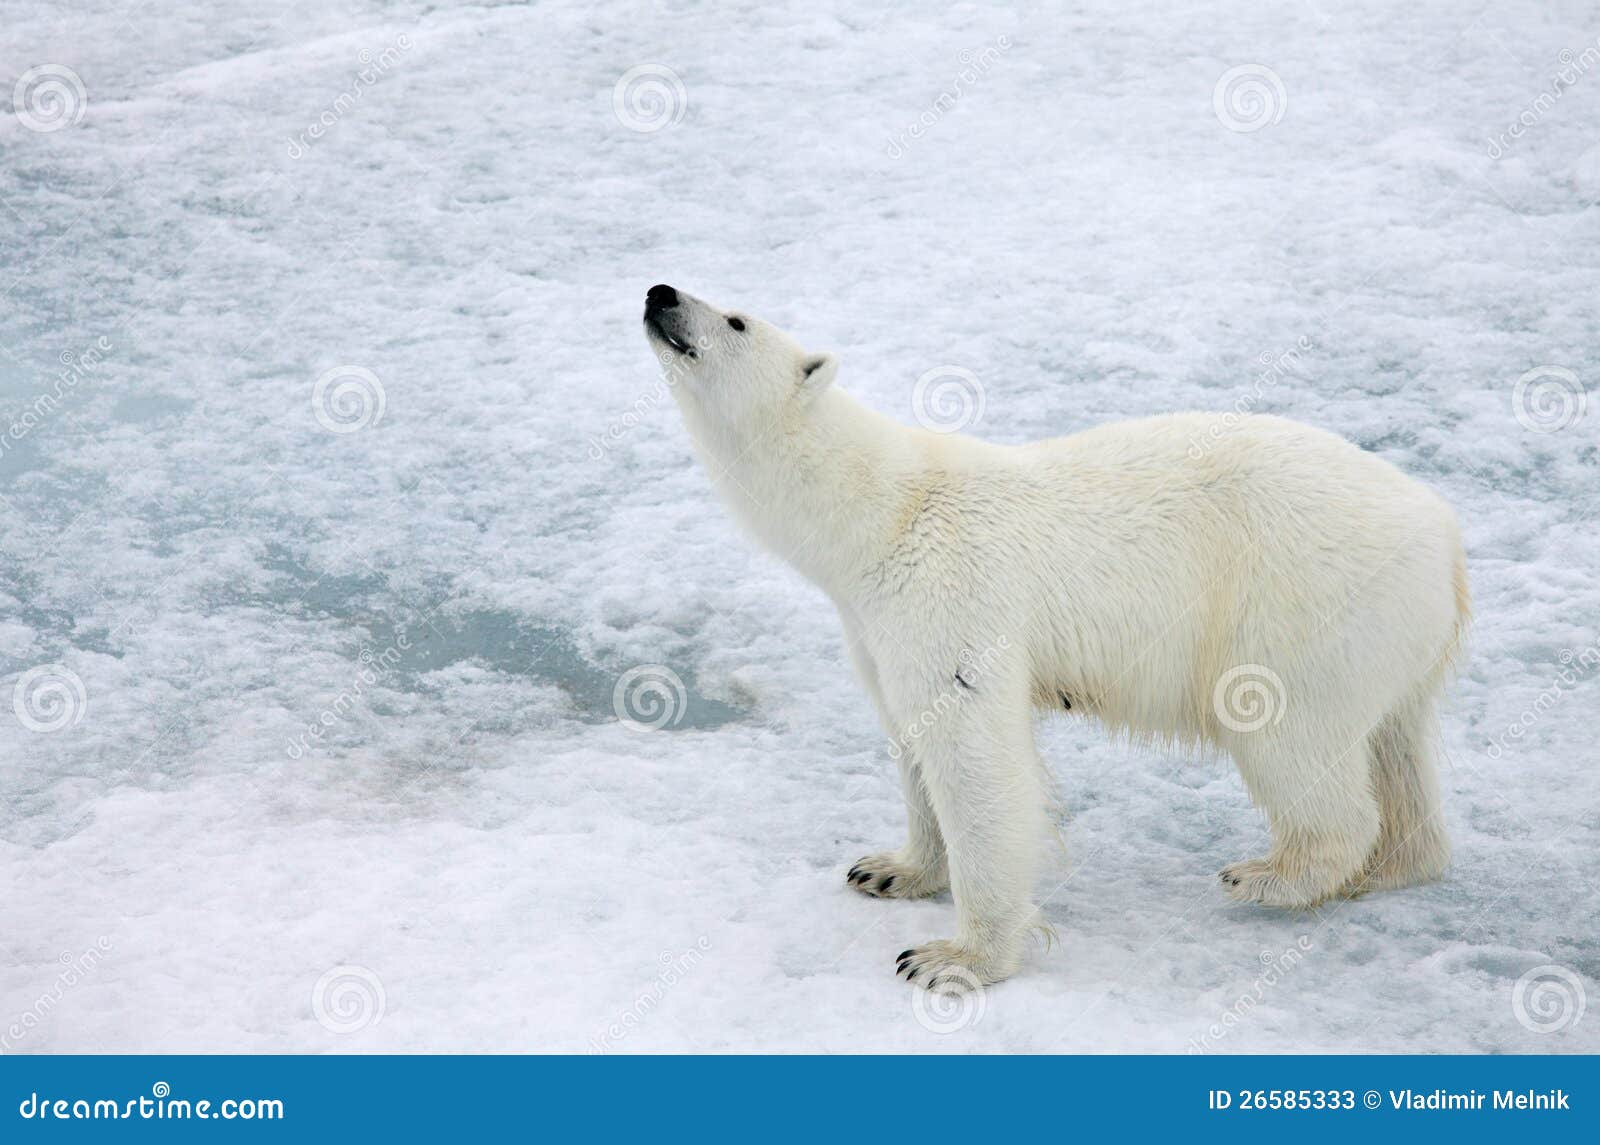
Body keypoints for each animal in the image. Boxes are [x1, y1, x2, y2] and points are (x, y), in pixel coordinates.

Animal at [643, 281, 1465, 991]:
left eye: (738, 320)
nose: (660, 294)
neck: (881, 512)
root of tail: (1445, 536)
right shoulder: (872, 623)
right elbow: (912, 730)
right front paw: (889, 868)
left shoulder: (950, 594)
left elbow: (973, 751)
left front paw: (953, 957)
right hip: (1387, 634)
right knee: (1396, 747)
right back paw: (1391, 863)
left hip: (1296, 601)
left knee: (1287, 732)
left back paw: (1271, 875)